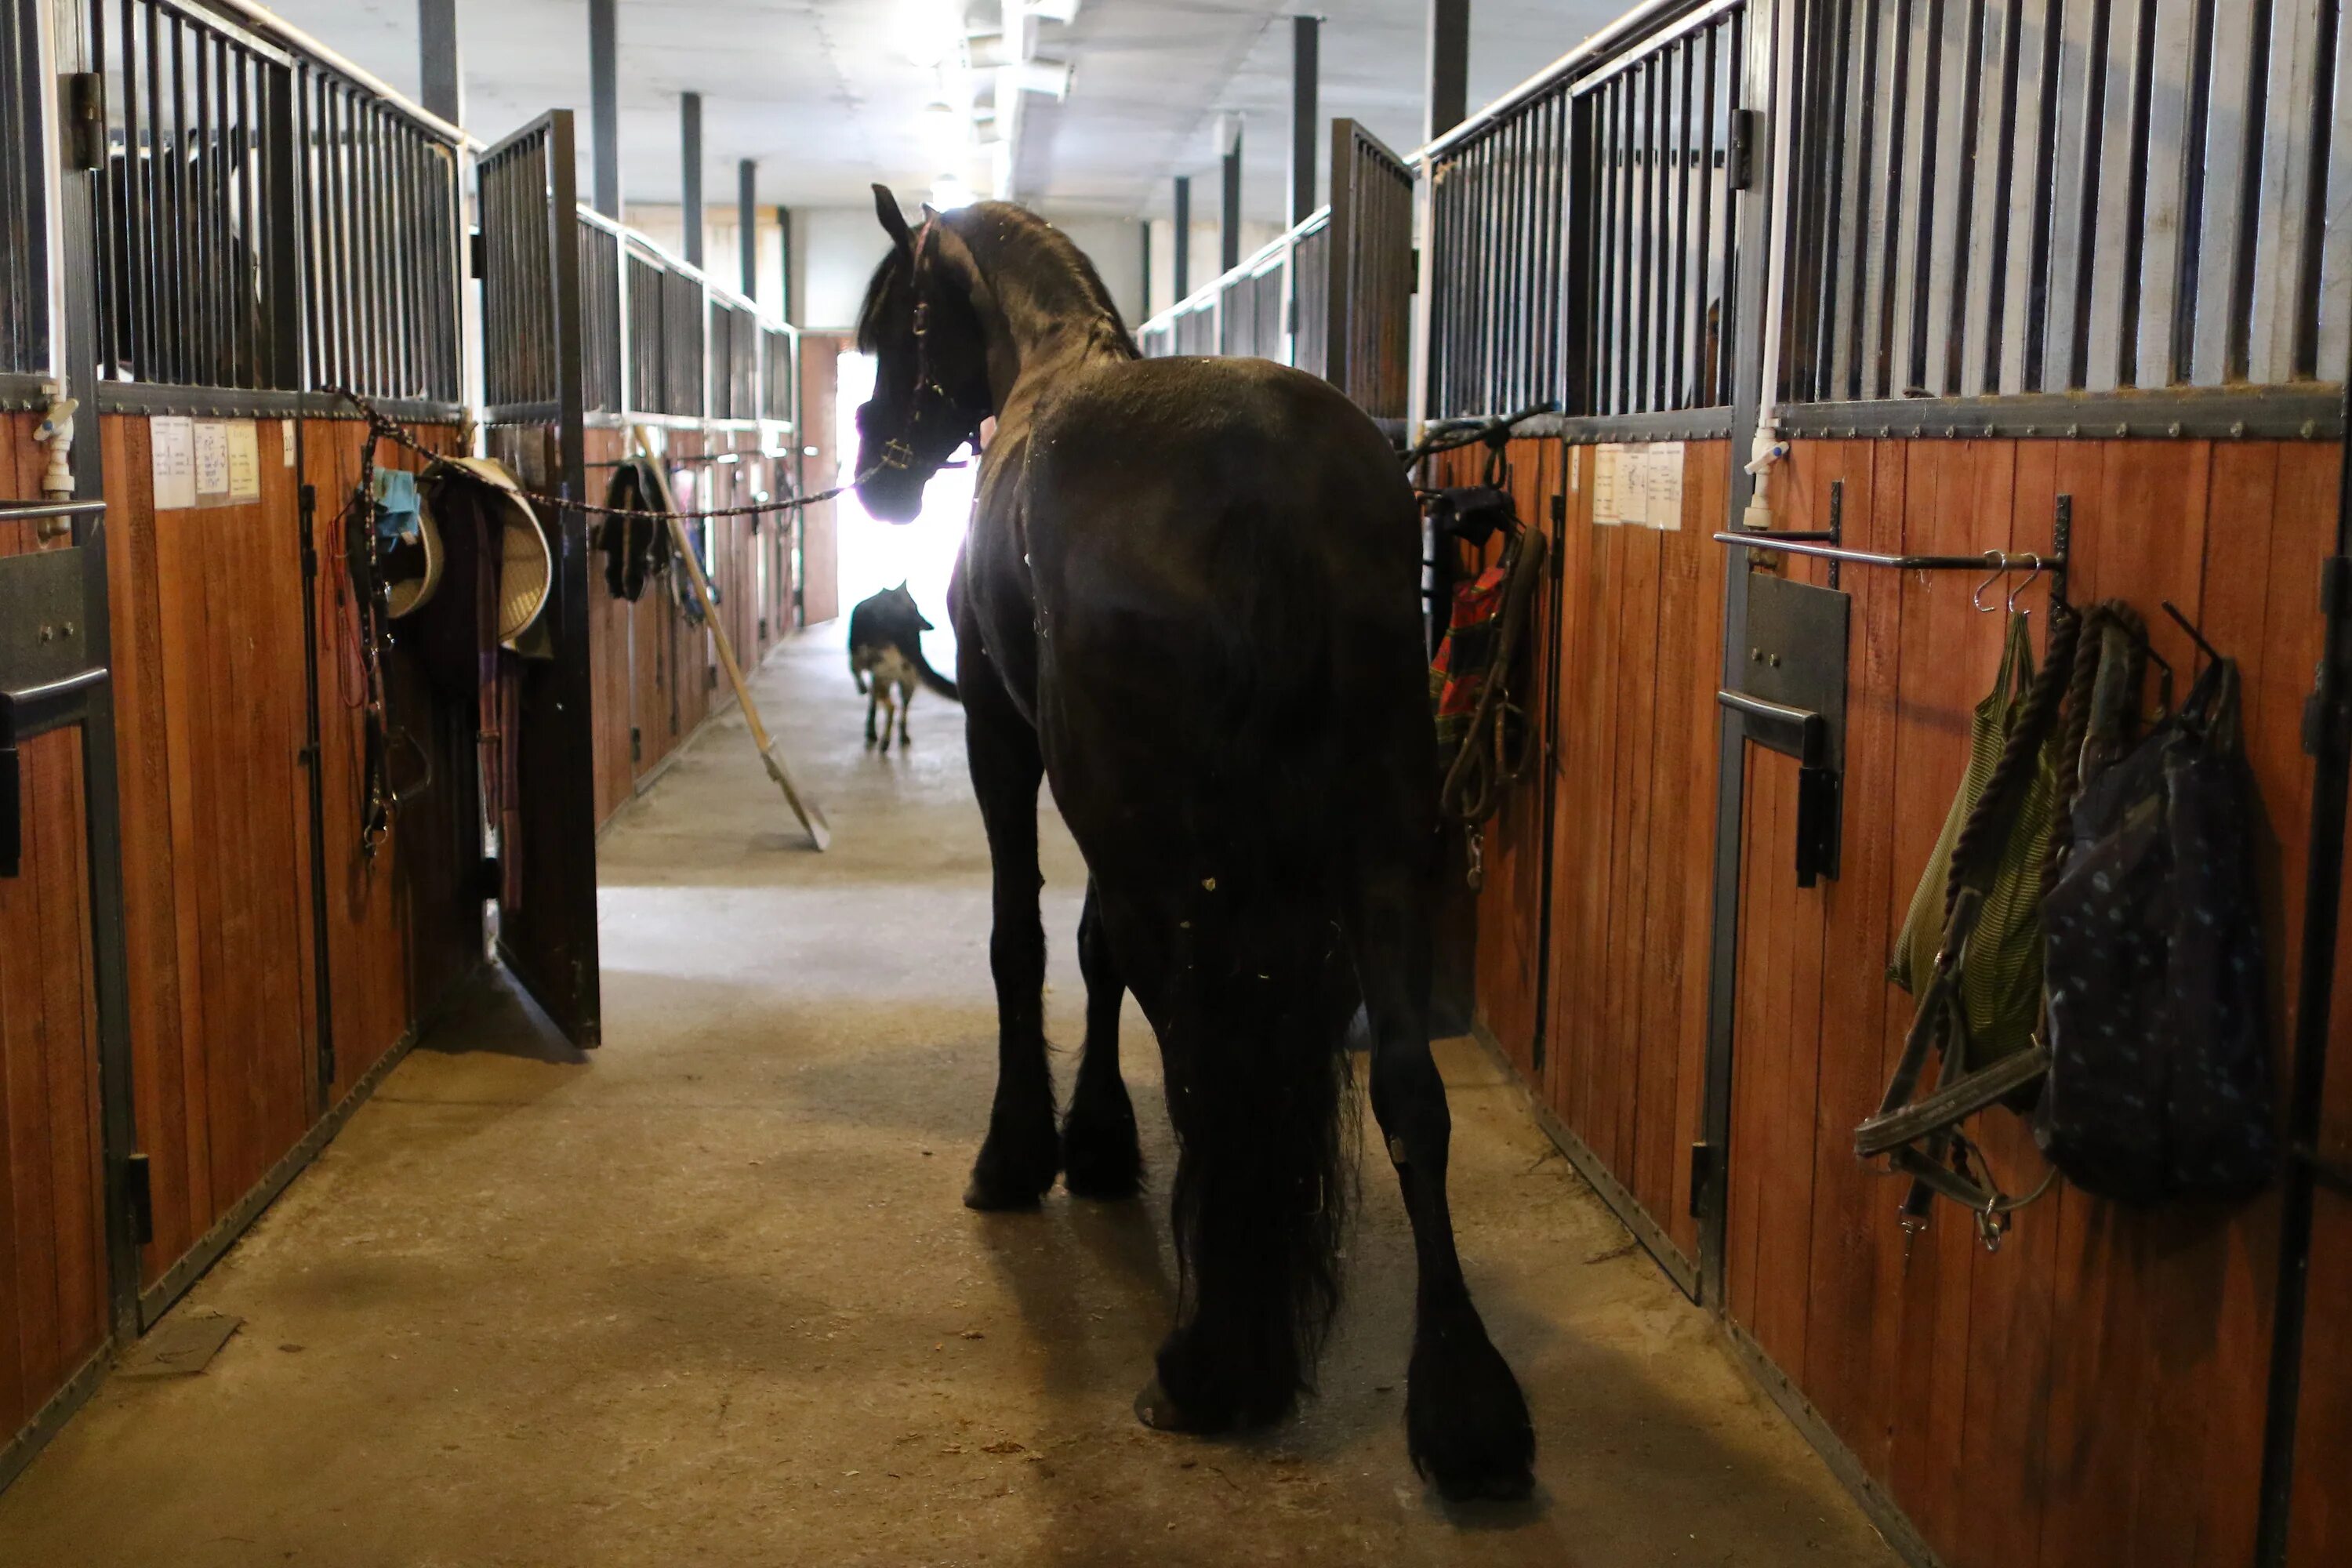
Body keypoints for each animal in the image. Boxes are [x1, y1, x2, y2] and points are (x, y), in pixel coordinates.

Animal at [856, 190, 1534, 1504]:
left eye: (895, 323)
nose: (875, 478)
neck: (1048, 357)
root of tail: (1266, 477)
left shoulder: (1007, 744)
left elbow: (1027, 943)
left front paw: (1026, 1155)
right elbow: (1089, 952)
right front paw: (1095, 1145)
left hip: (1154, 837)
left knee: (1197, 1052)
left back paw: (1208, 1363)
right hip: (1380, 850)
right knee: (1408, 1090)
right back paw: (1465, 1413)